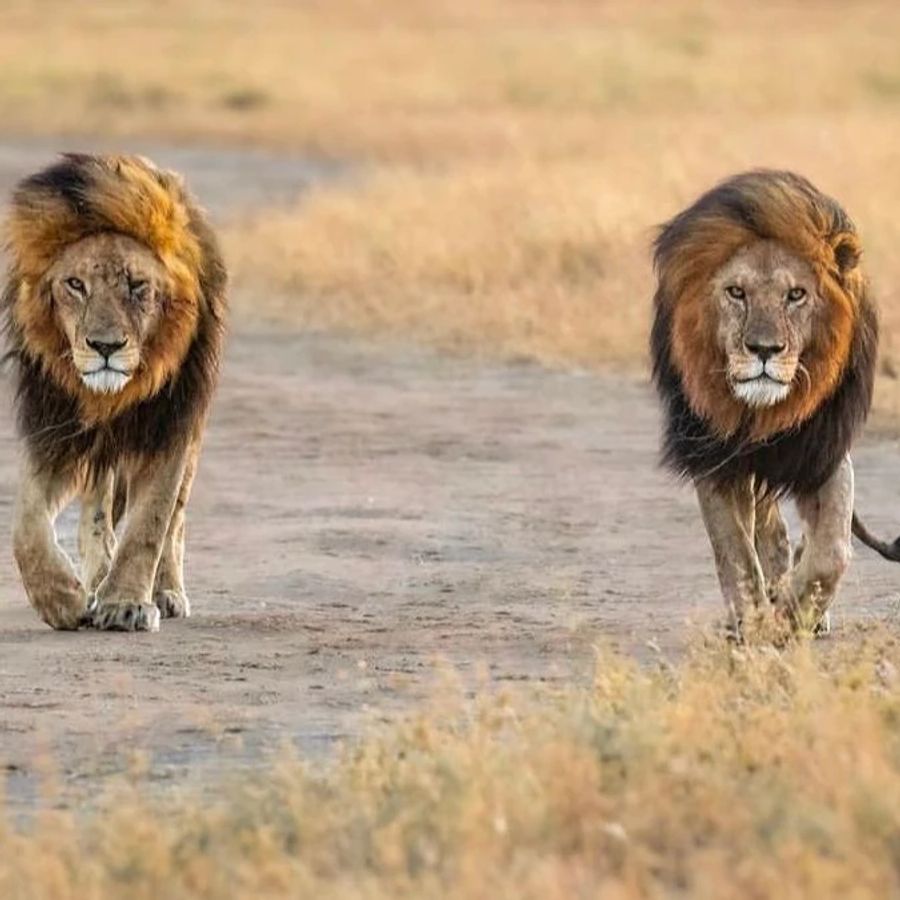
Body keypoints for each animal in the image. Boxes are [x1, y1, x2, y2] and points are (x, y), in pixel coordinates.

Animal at [2, 155, 227, 632]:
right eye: (75, 284)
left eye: (137, 285)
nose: (105, 346)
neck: (109, 397)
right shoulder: (56, 430)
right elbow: (25, 524)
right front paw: (60, 598)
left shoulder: (169, 428)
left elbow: (150, 525)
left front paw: (126, 603)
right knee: (97, 511)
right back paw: (94, 577)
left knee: (175, 521)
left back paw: (165, 592)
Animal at [648, 165, 892, 636]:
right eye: (736, 292)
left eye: (796, 295)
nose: (764, 349)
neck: (762, 413)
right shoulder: (714, 457)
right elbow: (735, 552)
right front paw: (753, 621)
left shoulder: (822, 453)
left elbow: (830, 551)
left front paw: (796, 612)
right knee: (766, 531)